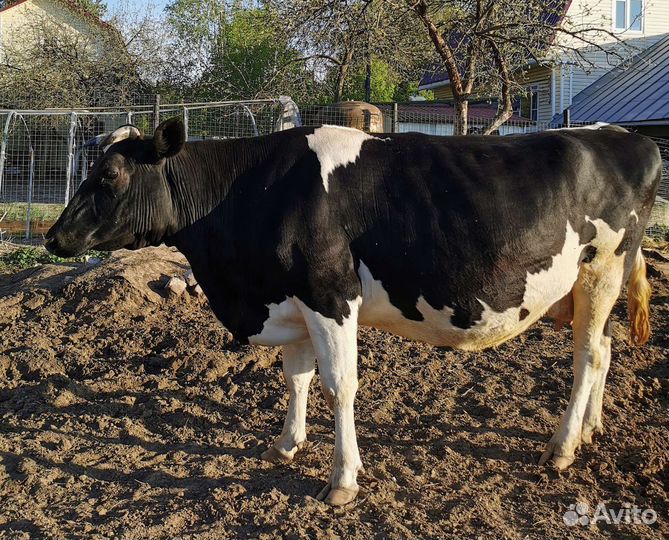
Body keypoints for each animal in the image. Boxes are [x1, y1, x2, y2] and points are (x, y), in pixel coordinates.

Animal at [45, 118, 661, 506]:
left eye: (110, 175)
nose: (53, 237)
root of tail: (623, 135)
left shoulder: (330, 294)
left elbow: (339, 385)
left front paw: (342, 479)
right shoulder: (291, 297)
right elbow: (296, 377)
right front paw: (286, 444)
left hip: (602, 268)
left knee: (587, 356)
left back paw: (562, 447)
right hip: (592, 286)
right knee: (605, 350)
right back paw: (591, 429)